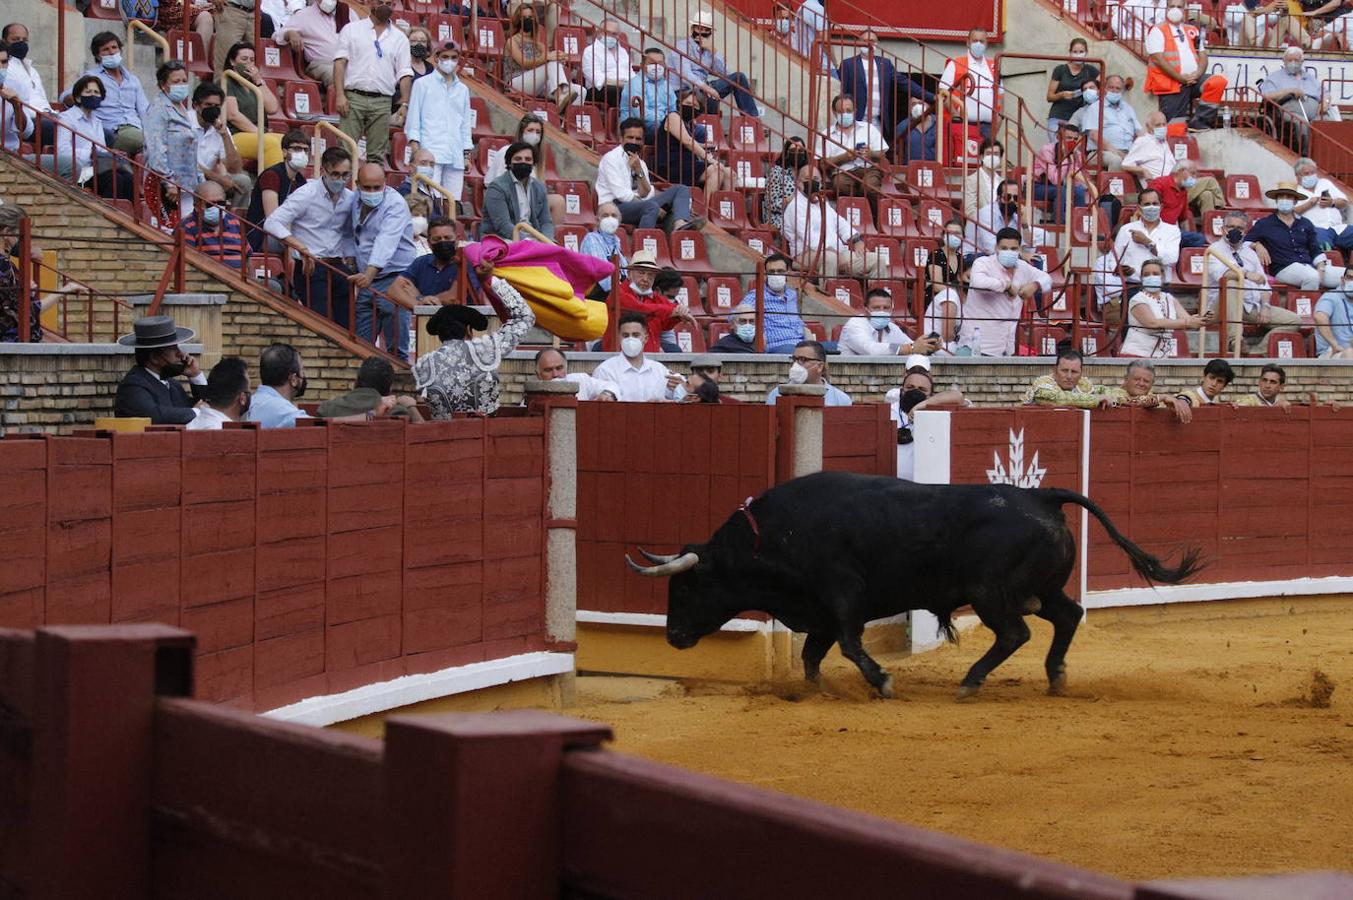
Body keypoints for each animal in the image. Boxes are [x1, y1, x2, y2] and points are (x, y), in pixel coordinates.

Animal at [625, 473, 1206, 698]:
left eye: (685, 590)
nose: (673, 637)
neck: (771, 536)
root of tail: (1040, 496)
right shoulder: (820, 609)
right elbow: (814, 654)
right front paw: (821, 690)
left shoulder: (842, 597)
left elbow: (850, 645)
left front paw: (881, 681)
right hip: (1039, 590)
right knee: (1068, 615)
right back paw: (1056, 677)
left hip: (991, 592)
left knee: (1013, 634)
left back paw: (970, 681)